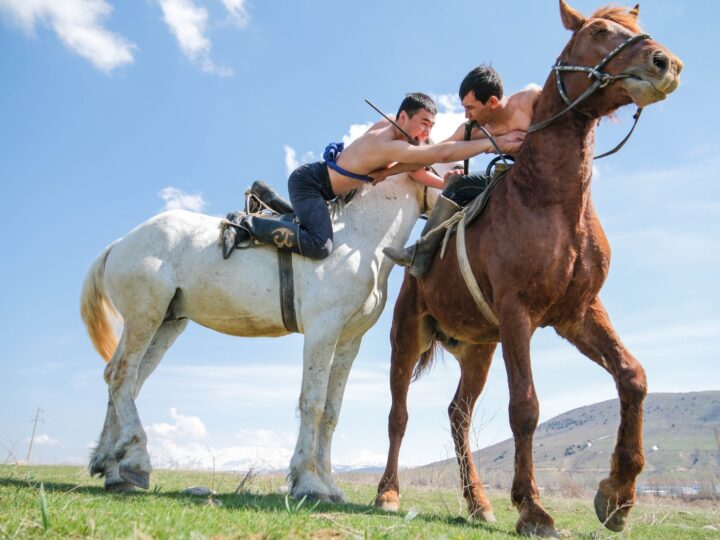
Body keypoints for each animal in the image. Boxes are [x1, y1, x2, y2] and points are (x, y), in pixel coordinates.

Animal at [79, 173, 438, 502]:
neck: (358, 239)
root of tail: (120, 243)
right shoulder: (322, 331)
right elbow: (313, 403)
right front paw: (309, 482)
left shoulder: (349, 340)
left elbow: (331, 411)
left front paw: (330, 486)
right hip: (145, 316)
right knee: (123, 376)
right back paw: (136, 460)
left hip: (166, 323)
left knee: (124, 379)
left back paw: (113, 468)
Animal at [374, 2, 684, 536]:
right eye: (598, 30)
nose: (664, 63)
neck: (550, 201)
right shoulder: (520, 315)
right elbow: (526, 408)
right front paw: (533, 509)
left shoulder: (577, 314)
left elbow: (633, 377)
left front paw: (618, 496)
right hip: (408, 335)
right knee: (399, 414)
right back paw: (389, 493)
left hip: (478, 349)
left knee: (458, 414)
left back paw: (477, 501)